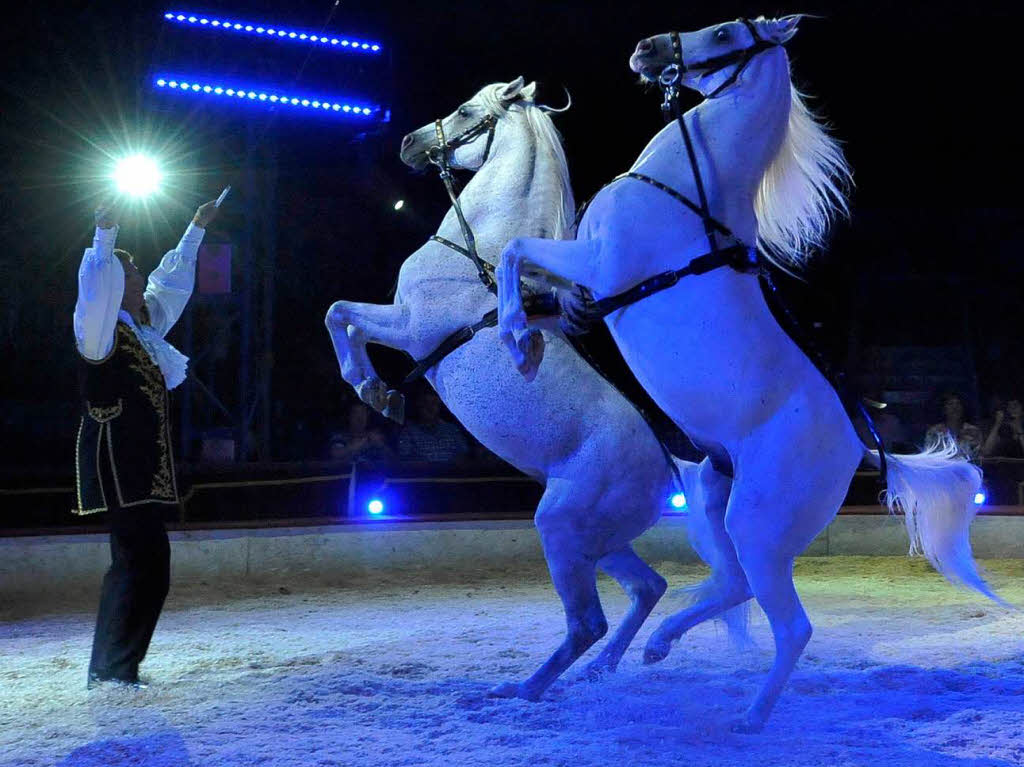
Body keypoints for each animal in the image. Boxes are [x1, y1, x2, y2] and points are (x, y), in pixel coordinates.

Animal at [323, 77, 724, 700]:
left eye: (466, 110)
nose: (410, 143)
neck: (481, 253)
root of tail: (668, 467)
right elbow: (342, 315)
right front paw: (380, 393)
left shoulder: (409, 326)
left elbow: (340, 312)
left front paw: (374, 390)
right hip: (597, 543)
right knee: (648, 588)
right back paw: (600, 670)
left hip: (560, 532)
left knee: (589, 620)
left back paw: (525, 689)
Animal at [495, 17, 999, 729]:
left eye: (727, 30)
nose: (647, 49)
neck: (687, 195)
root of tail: (865, 448)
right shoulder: (588, 285)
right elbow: (529, 278)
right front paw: (521, 334)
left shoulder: (596, 263)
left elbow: (513, 251)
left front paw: (515, 341)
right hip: (713, 492)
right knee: (733, 586)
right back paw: (655, 646)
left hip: (757, 528)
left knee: (790, 624)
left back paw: (749, 719)